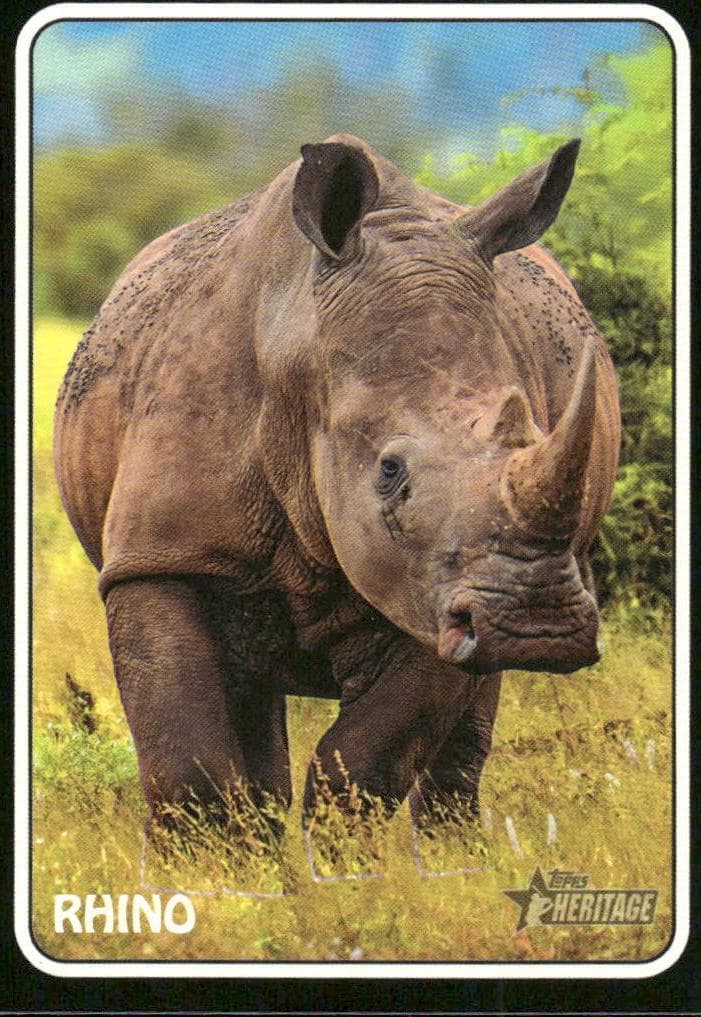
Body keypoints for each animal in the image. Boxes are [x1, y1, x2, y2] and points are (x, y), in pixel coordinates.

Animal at [54, 134, 620, 840]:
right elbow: (189, 767)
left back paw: (452, 855)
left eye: (533, 433)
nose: (538, 625)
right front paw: (216, 868)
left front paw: (336, 863)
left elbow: (364, 762)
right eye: (390, 471)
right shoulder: (160, 555)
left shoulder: (430, 585)